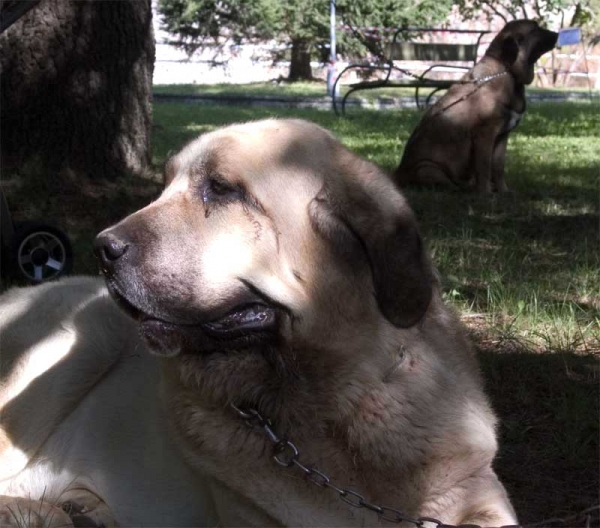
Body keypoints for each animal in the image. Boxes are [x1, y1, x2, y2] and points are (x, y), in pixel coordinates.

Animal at [0, 120, 516, 528]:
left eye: (222, 189)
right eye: (164, 186)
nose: (103, 248)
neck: (325, 405)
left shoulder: (480, 495)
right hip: (84, 334)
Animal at [394, 21, 556, 194]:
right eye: (535, 29)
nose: (557, 34)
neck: (507, 71)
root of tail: (397, 175)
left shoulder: (502, 137)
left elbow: (498, 168)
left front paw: (503, 190)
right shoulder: (484, 135)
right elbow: (485, 167)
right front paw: (486, 193)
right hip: (426, 168)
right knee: (450, 185)